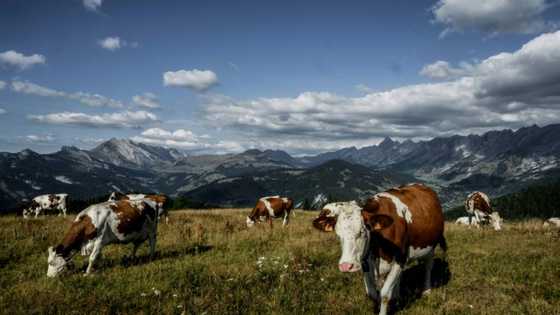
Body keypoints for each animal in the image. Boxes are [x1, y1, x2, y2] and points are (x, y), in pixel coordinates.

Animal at [312, 185, 448, 315]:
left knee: (428, 267)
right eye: (338, 234)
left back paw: (426, 290)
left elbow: (384, 294)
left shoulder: (400, 259)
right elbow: (372, 293)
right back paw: (397, 296)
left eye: (362, 231)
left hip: (431, 246)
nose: (346, 266)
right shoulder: (365, 261)